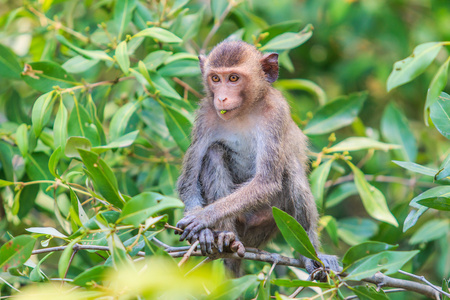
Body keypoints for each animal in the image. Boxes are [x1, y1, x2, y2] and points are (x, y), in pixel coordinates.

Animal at [176, 40, 342, 278]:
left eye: (233, 78)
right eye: (215, 78)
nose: (221, 98)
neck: (243, 111)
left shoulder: (275, 114)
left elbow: (267, 180)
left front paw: (204, 218)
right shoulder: (205, 116)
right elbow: (188, 181)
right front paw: (204, 228)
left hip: (270, 222)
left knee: (291, 168)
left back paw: (310, 254)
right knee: (214, 152)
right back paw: (226, 237)